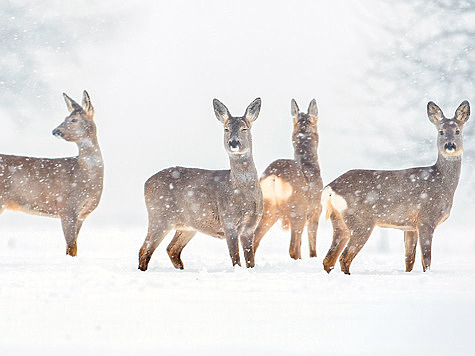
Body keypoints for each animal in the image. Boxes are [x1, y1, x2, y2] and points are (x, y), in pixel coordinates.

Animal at [0, 89, 103, 256]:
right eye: (65, 118)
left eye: (74, 119)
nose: (55, 131)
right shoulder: (67, 206)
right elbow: (71, 247)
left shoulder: (82, 214)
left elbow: (72, 248)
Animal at [138, 97, 264, 270]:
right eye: (226, 129)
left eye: (244, 128)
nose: (233, 143)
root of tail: (146, 183)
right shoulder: (228, 221)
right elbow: (235, 259)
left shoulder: (250, 227)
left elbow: (251, 261)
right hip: (159, 216)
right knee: (145, 250)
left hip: (187, 226)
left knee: (171, 249)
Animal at [253, 99, 324, 258]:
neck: (309, 164)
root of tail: (274, 176)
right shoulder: (316, 211)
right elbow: (312, 248)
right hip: (297, 210)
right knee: (293, 248)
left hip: (267, 209)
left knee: (253, 239)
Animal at [322, 100, 470, 276]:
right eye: (440, 131)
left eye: (457, 130)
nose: (450, 145)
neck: (442, 181)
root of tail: (330, 189)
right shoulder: (426, 218)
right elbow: (426, 260)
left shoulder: (410, 227)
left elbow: (409, 260)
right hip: (361, 221)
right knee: (344, 258)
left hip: (339, 221)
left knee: (328, 260)